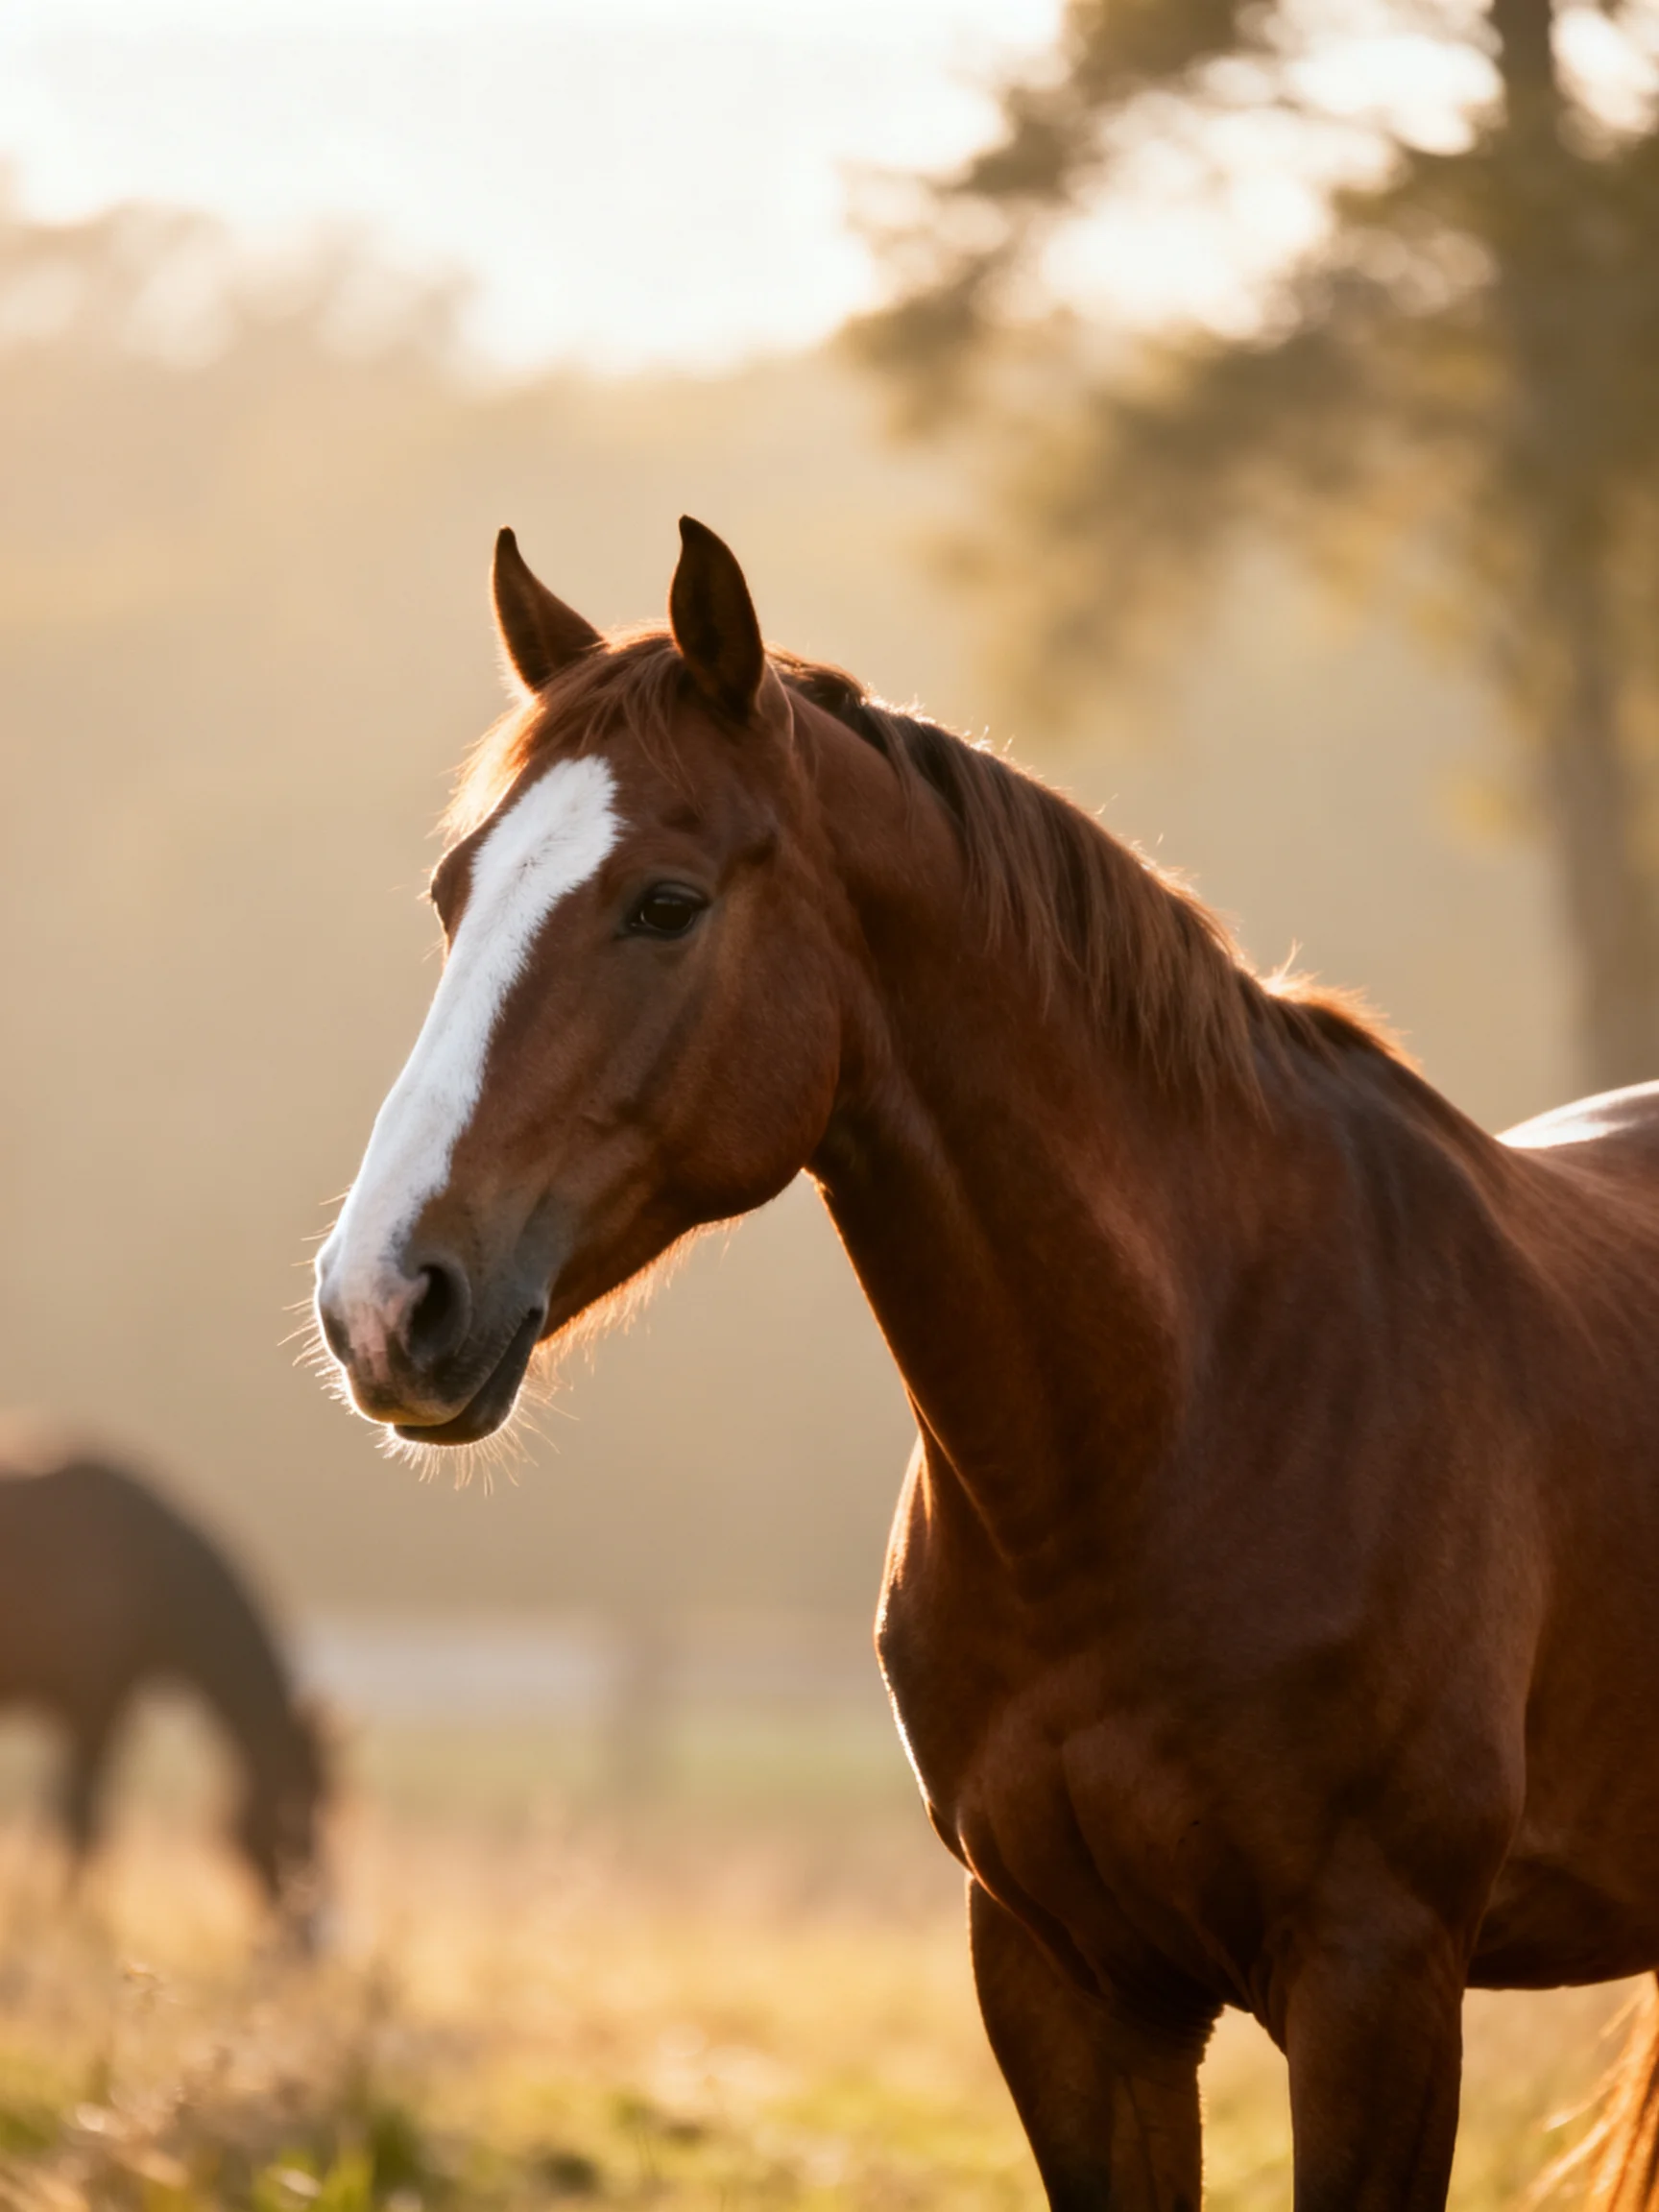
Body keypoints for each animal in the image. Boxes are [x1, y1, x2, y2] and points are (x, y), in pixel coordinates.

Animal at [0, 1424, 328, 1933]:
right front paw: (71, 1923)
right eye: (301, 1808)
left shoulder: (107, 1708)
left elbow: (72, 1817)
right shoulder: (91, 1709)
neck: (143, 1564)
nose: (310, 1935)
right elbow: (81, 1820)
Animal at [314, 515, 1659, 2210]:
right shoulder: (1065, 1986)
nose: (382, 1301)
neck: (1189, 1420)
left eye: (667, 904)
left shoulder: (1379, 1984)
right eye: (454, 894)